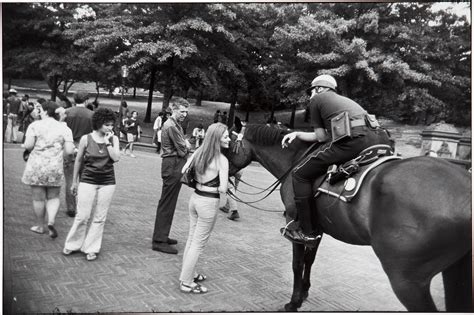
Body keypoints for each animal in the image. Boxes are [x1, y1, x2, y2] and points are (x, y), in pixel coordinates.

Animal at [228, 124, 472, 312]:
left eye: (228, 147)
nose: (226, 176)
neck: (297, 160)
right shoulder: (315, 229)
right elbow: (309, 260)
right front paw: (304, 292)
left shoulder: (295, 223)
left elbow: (297, 263)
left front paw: (294, 302)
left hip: (407, 281)